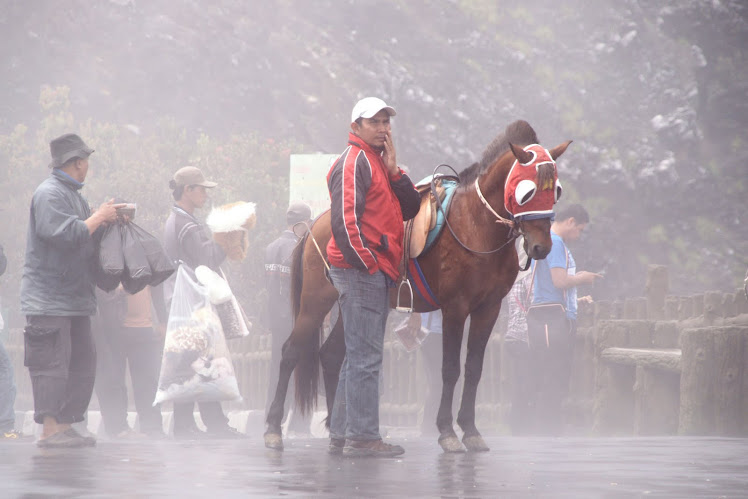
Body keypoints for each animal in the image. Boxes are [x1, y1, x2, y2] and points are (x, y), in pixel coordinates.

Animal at [266, 120, 568, 454]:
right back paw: (274, 428)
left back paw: (338, 431)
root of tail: (315, 225)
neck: (476, 225)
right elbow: (450, 369)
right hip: (315, 300)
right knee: (291, 351)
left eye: (556, 190)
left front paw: (470, 429)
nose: (541, 247)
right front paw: (447, 431)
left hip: (353, 304)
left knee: (332, 355)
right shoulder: (454, 308)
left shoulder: (488, 308)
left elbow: (474, 368)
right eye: (527, 191)